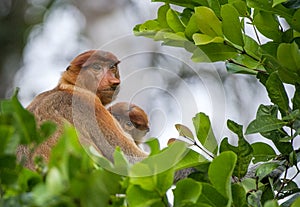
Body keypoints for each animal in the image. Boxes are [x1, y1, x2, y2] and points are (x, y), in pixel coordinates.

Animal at [16, 50, 148, 170]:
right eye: (97, 67)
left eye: (112, 67)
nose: (114, 82)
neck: (71, 87)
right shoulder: (90, 104)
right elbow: (132, 159)